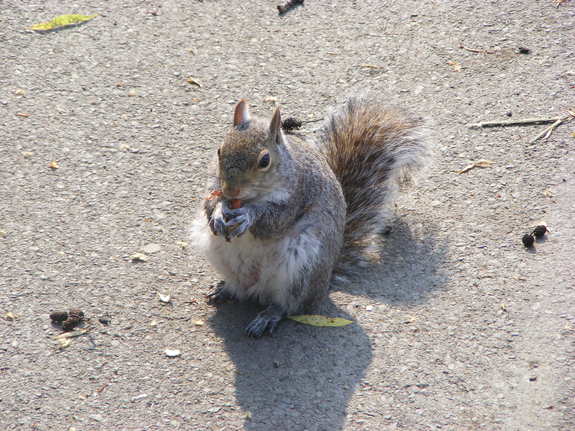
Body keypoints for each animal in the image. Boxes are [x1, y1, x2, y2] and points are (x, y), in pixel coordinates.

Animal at [191, 93, 430, 338]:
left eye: (264, 161)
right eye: (219, 150)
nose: (231, 191)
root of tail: (325, 283)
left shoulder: (300, 194)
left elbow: (274, 221)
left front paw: (247, 216)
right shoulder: (214, 182)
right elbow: (208, 202)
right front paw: (218, 212)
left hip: (302, 268)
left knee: (290, 305)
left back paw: (268, 316)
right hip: (220, 253)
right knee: (240, 288)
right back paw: (225, 290)